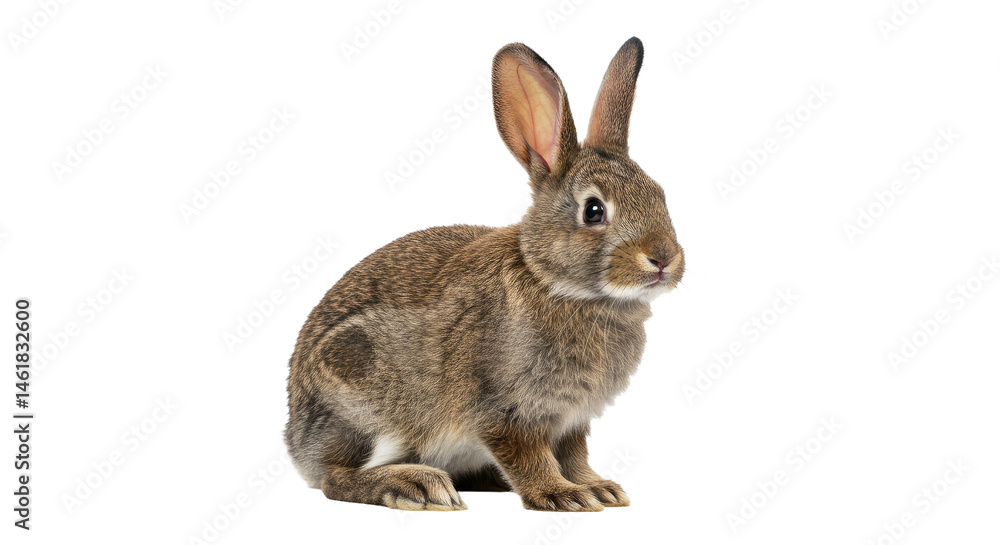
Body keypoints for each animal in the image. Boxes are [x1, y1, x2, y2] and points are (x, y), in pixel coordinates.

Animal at [284, 36, 684, 512]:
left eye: (659, 194)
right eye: (593, 211)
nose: (663, 259)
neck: (558, 285)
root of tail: (296, 441)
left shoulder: (571, 421)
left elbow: (574, 455)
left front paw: (599, 488)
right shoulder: (507, 411)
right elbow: (529, 456)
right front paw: (564, 495)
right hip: (366, 401)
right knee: (335, 478)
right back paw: (416, 485)